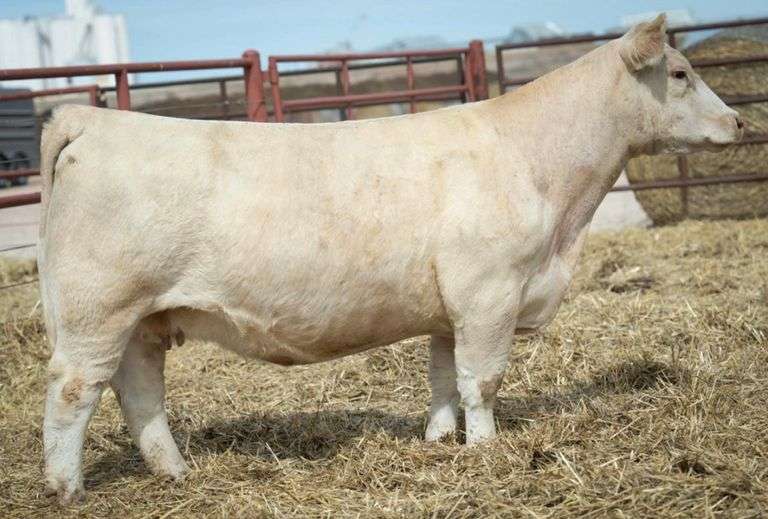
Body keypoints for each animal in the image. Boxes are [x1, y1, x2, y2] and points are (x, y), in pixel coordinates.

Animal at [38, 14, 742, 503]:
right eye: (680, 73)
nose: (738, 122)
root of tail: (90, 119)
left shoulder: (449, 308)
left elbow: (442, 378)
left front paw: (438, 442)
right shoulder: (490, 293)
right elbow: (483, 380)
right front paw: (485, 451)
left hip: (141, 320)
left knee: (138, 394)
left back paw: (176, 473)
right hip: (96, 311)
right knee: (73, 393)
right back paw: (67, 490)